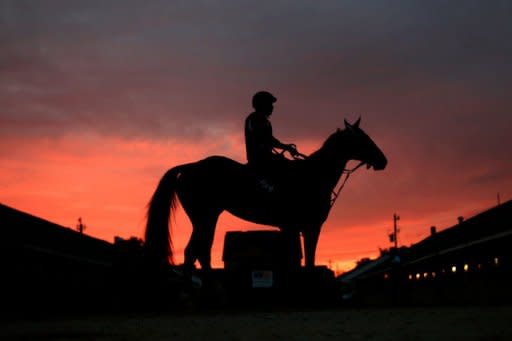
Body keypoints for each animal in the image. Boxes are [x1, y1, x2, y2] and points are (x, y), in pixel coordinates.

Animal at [142, 118, 386, 270]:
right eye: (363, 139)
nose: (383, 160)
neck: (312, 175)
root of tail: (189, 167)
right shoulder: (309, 226)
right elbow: (307, 260)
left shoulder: (294, 228)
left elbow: (300, 259)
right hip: (204, 218)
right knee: (195, 252)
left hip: (206, 219)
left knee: (198, 252)